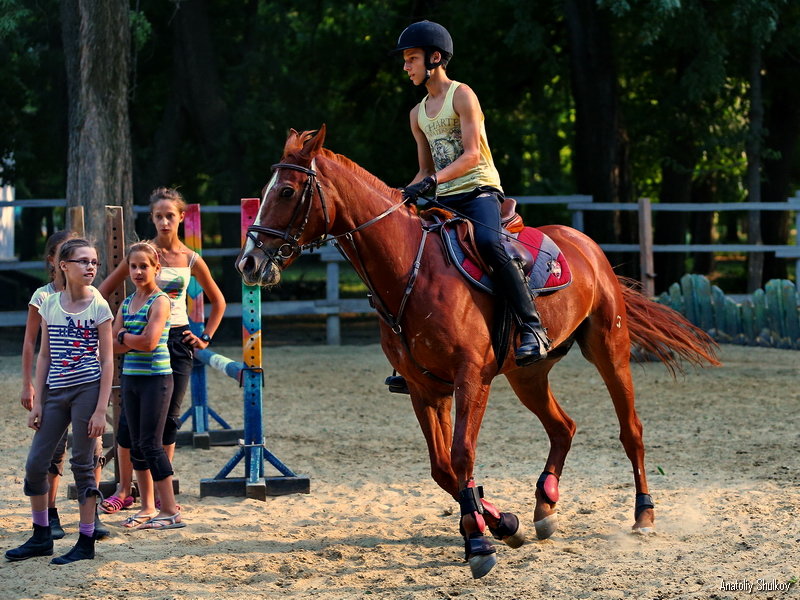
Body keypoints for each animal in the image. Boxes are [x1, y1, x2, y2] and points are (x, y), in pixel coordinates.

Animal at [234, 127, 716, 580]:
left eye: (287, 191)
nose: (248, 263)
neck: (410, 270)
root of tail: (586, 245)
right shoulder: (424, 388)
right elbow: (444, 469)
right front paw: (499, 524)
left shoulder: (471, 378)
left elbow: (462, 456)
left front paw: (481, 545)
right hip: (527, 375)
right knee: (563, 427)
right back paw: (544, 506)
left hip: (608, 351)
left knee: (630, 429)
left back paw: (643, 513)